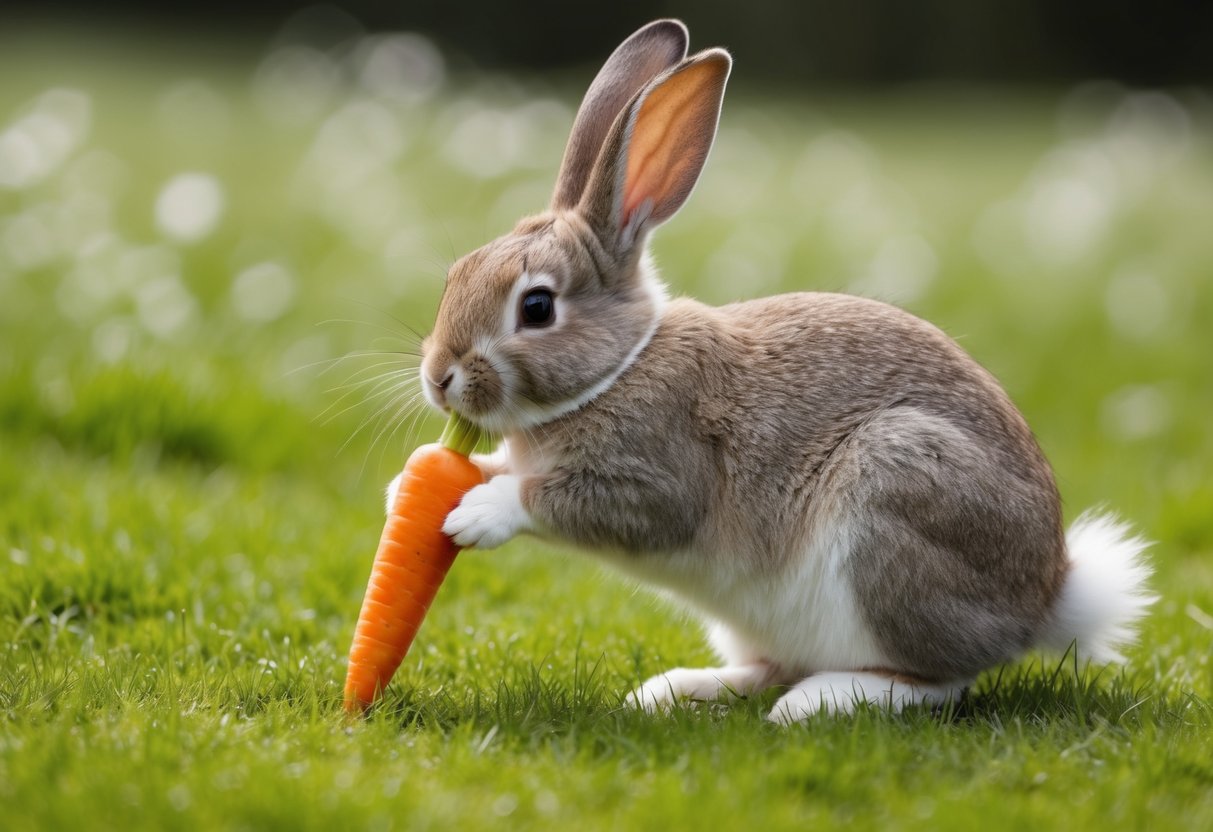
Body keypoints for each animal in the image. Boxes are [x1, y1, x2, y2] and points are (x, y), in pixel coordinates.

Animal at [392, 19, 1155, 722]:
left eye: (537, 307)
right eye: (457, 275)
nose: (439, 377)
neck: (619, 366)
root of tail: (1046, 599)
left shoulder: (656, 477)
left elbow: (562, 500)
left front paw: (476, 513)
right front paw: (413, 487)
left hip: (897, 490)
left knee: (938, 680)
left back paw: (820, 701)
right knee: (773, 665)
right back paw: (675, 690)